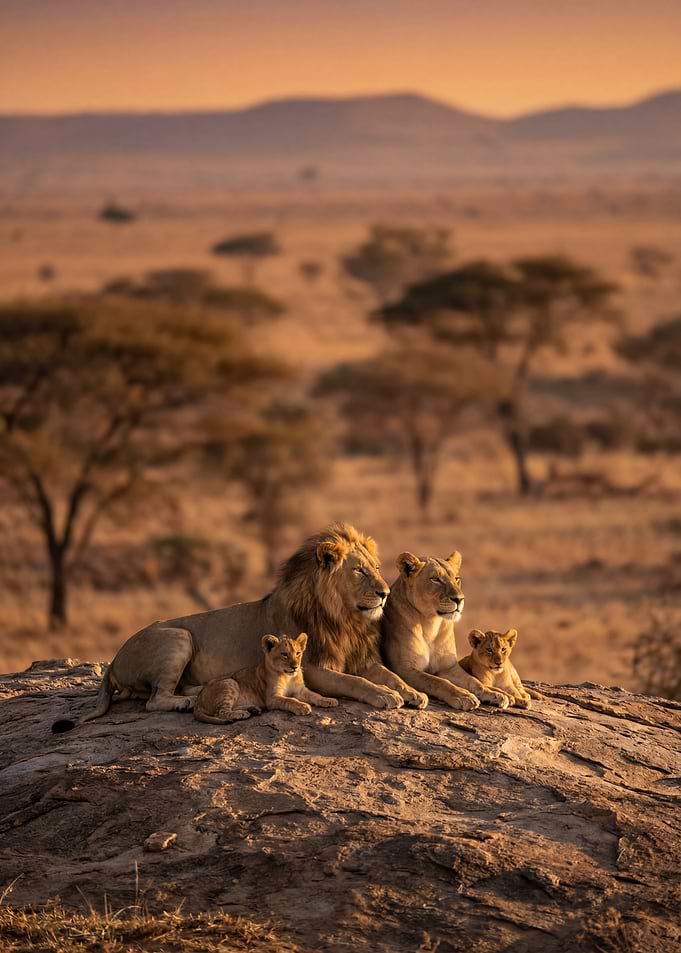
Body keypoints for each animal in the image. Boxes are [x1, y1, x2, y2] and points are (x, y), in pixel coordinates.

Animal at [194, 632, 338, 724]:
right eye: (284, 654)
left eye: (298, 653)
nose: (295, 667)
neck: (288, 677)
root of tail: (198, 701)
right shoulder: (272, 698)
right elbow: (290, 700)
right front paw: (302, 706)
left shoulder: (300, 690)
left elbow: (315, 695)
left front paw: (328, 700)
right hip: (229, 682)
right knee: (221, 712)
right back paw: (242, 714)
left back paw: (253, 709)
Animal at [381, 551, 510, 711]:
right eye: (435, 579)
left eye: (457, 579)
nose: (459, 599)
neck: (430, 624)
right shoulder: (404, 669)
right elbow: (438, 682)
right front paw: (463, 696)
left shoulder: (449, 667)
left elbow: (474, 681)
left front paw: (494, 694)